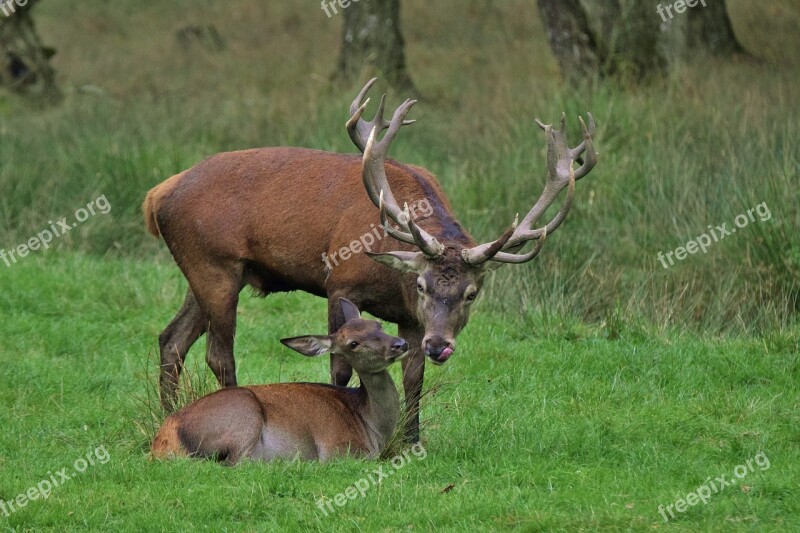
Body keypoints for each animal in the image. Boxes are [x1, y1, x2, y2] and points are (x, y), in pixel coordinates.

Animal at [151, 298, 410, 464]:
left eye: (378, 324)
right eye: (353, 344)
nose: (400, 344)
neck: (371, 427)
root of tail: (163, 440)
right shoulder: (341, 450)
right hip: (243, 416)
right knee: (235, 462)